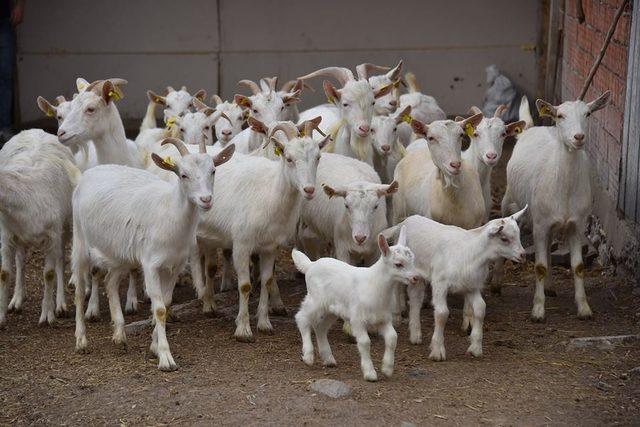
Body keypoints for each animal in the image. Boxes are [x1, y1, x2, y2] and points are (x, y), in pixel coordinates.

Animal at [0, 130, 80, 328]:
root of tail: (36, 130)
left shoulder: (52, 235)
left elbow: (49, 273)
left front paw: (47, 316)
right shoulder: (7, 233)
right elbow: (5, 273)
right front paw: (1, 317)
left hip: (65, 226)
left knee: (60, 260)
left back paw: (60, 305)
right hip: (20, 235)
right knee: (21, 260)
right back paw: (17, 300)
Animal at [384, 211, 524, 362]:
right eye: (504, 238)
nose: (523, 255)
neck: (471, 253)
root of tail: (404, 223)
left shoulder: (471, 286)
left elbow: (480, 308)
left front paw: (475, 348)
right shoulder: (440, 283)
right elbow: (442, 313)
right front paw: (437, 351)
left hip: (419, 275)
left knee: (416, 298)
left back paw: (415, 336)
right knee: (400, 290)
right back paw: (398, 317)